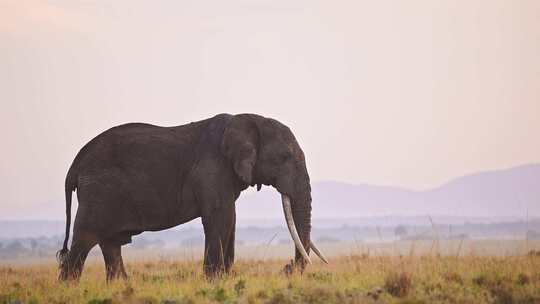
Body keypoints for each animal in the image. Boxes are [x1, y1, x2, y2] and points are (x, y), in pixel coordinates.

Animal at [59, 113, 330, 282]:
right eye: (284, 157)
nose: (287, 268)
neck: (247, 119)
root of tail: (74, 165)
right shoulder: (212, 169)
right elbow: (221, 218)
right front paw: (215, 281)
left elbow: (230, 220)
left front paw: (224, 279)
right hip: (98, 193)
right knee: (84, 240)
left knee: (111, 244)